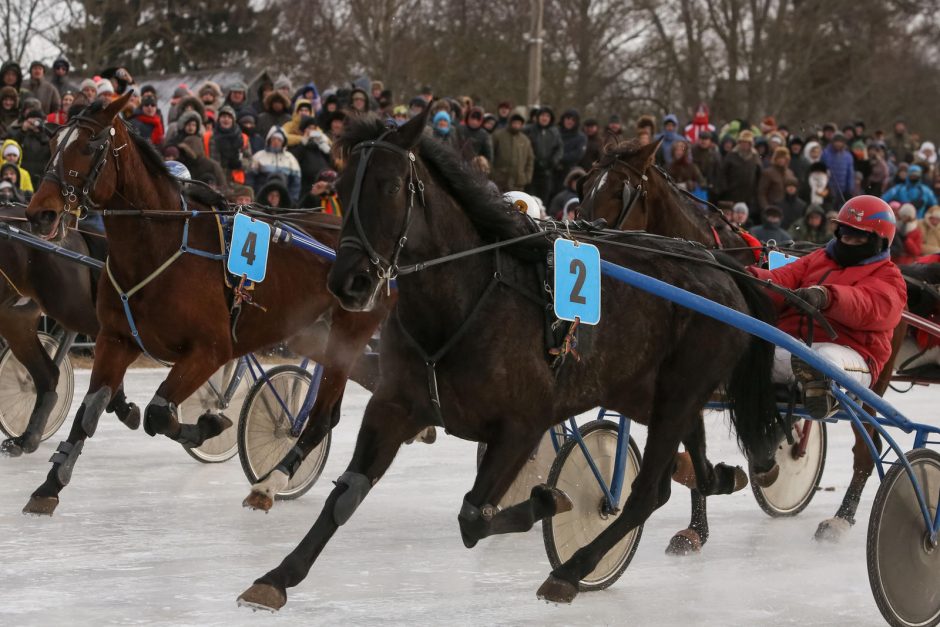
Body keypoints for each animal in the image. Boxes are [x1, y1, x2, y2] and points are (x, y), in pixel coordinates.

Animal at [23, 92, 390, 516]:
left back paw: (272, 482)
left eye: (88, 145)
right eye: (52, 143)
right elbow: (91, 409)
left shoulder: (211, 349)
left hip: (349, 331)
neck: (158, 248)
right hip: (309, 332)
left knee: (325, 413)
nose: (40, 213)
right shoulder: (115, 339)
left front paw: (210, 426)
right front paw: (49, 486)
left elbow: (159, 413)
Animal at [235, 110, 784, 612]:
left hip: (678, 393)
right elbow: (346, 494)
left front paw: (548, 500)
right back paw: (715, 478)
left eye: (389, 186)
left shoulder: (522, 424)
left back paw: (572, 569)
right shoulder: (395, 406)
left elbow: (472, 516)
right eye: (343, 187)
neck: (463, 301)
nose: (349, 281)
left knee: (646, 493)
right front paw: (277, 576)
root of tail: (719, 268)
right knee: (686, 465)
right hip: (645, 390)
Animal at [576, 140, 916, 548]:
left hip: (870, 380)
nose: (580, 230)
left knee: (866, 448)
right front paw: (696, 526)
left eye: (619, 191)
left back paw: (841, 516)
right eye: (584, 185)